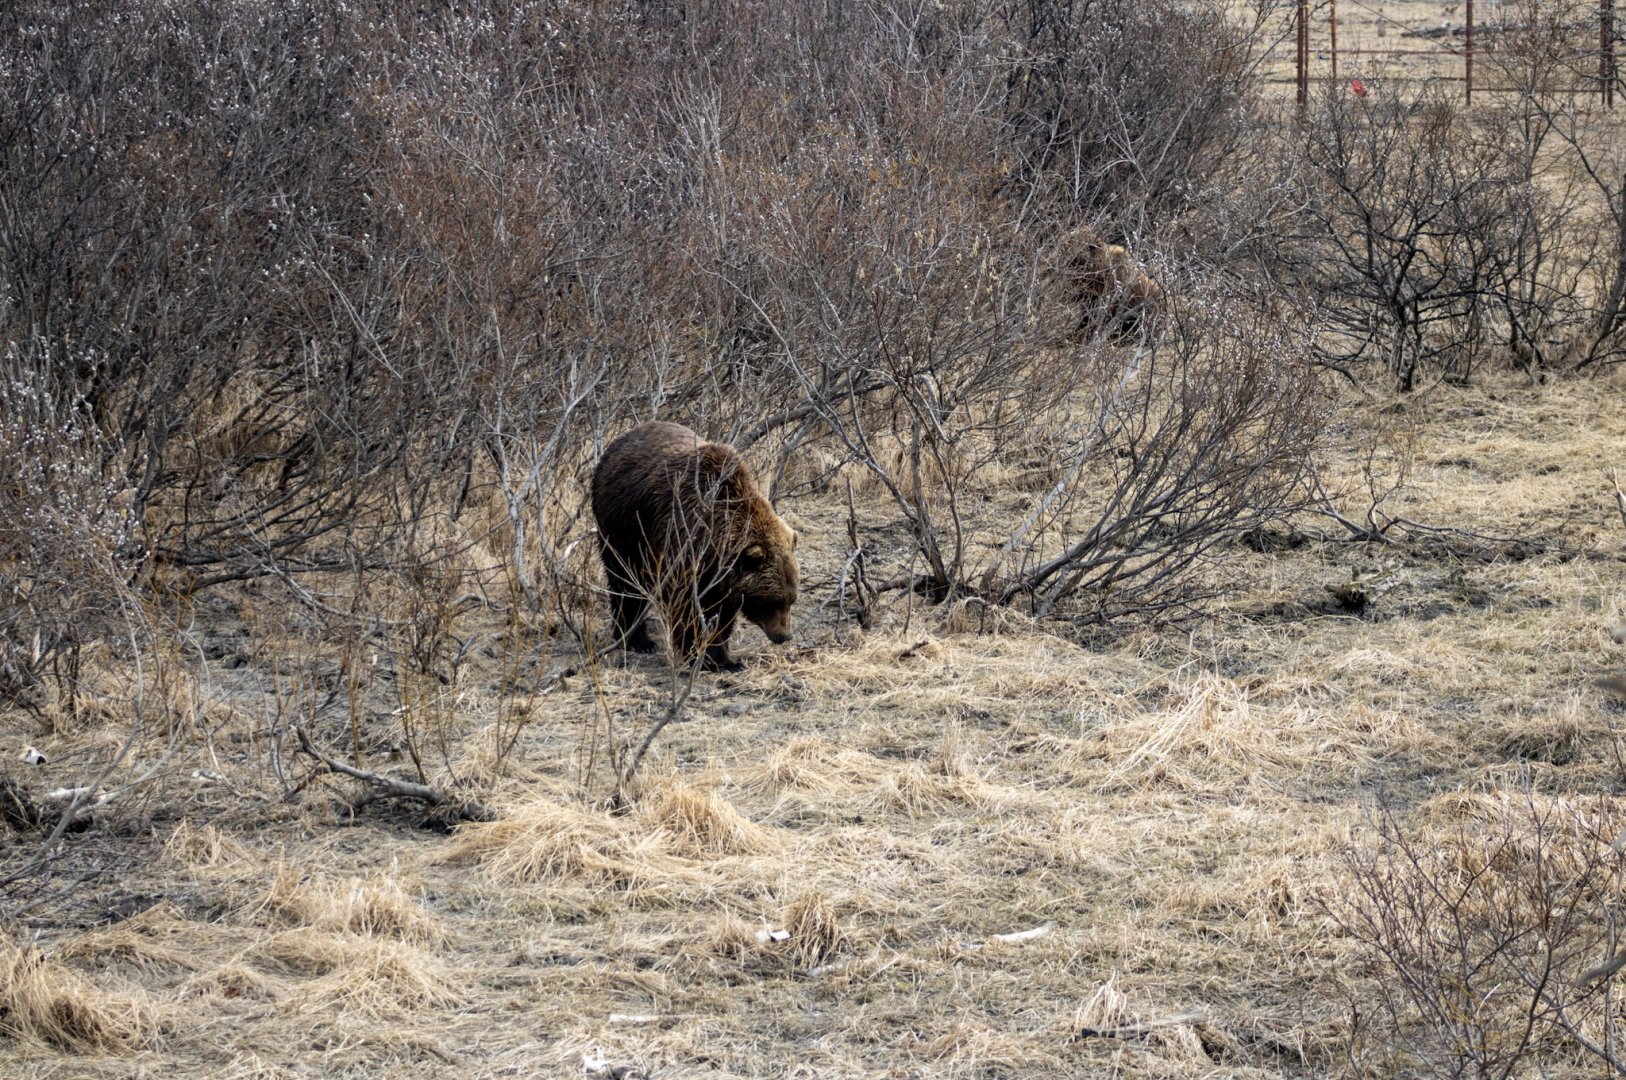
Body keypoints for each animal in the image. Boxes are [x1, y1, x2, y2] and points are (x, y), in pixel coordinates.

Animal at [591, 421, 799, 672]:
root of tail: (618, 441)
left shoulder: (722, 578)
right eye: (773, 601)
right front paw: (701, 657)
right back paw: (636, 639)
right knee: (625, 581)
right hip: (622, 526)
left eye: (792, 599)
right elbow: (688, 606)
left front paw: (726, 659)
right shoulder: (683, 543)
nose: (784, 635)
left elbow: (722, 613)